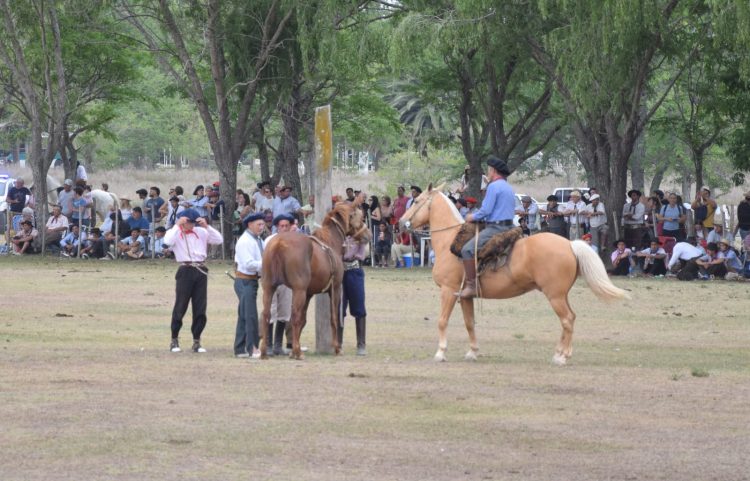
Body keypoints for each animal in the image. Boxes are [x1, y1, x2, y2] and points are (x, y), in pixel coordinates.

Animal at [259, 202, 368, 360]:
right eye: (360, 216)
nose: (368, 235)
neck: (331, 243)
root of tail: (279, 243)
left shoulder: (308, 294)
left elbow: (303, 320)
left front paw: (292, 350)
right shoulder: (335, 288)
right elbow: (334, 317)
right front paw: (337, 348)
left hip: (269, 287)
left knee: (266, 315)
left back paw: (264, 352)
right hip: (298, 290)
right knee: (293, 315)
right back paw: (298, 352)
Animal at [399, 183, 630, 365]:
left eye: (417, 200)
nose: (401, 223)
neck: (450, 241)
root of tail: (570, 244)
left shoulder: (448, 290)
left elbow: (442, 321)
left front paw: (440, 353)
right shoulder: (465, 296)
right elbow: (469, 323)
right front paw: (473, 352)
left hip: (555, 296)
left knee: (567, 320)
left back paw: (561, 357)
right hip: (561, 295)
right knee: (570, 318)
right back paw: (561, 353)